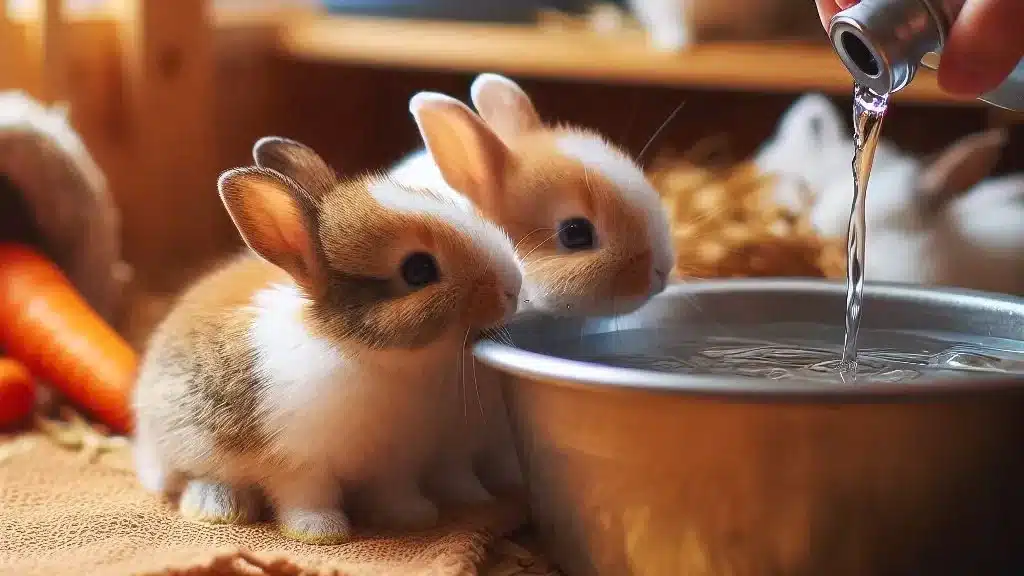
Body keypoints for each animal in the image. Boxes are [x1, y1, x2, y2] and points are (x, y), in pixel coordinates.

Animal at [132, 135, 524, 541]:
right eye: (418, 270)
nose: (513, 287)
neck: (372, 358)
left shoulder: (393, 466)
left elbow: (394, 492)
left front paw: (413, 516)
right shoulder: (301, 466)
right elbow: (308, 498)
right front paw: (321, 531)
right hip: (191, 446)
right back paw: (218, 507)